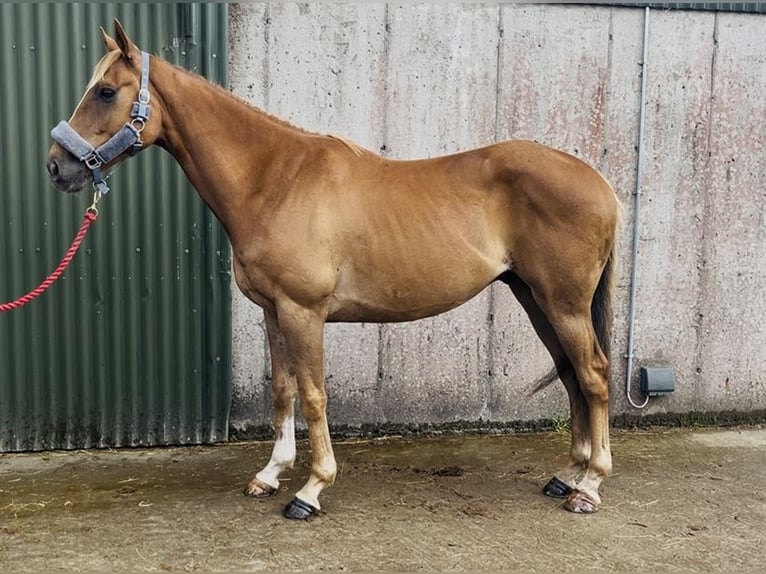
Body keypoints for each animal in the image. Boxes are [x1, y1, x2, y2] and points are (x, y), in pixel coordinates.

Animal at [47, 21, 620, 520]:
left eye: (105, 91)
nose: (57, 165)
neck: (273, 179)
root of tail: (601, 184)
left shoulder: (304, 311)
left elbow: (313, 394)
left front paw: (311, 489)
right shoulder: (274, 312)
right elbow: (283, 391)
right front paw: (270, 474)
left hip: (562, 302)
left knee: (593, 374)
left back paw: (590, 486)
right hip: (534, 297)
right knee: (570, 372)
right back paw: (567, 475)